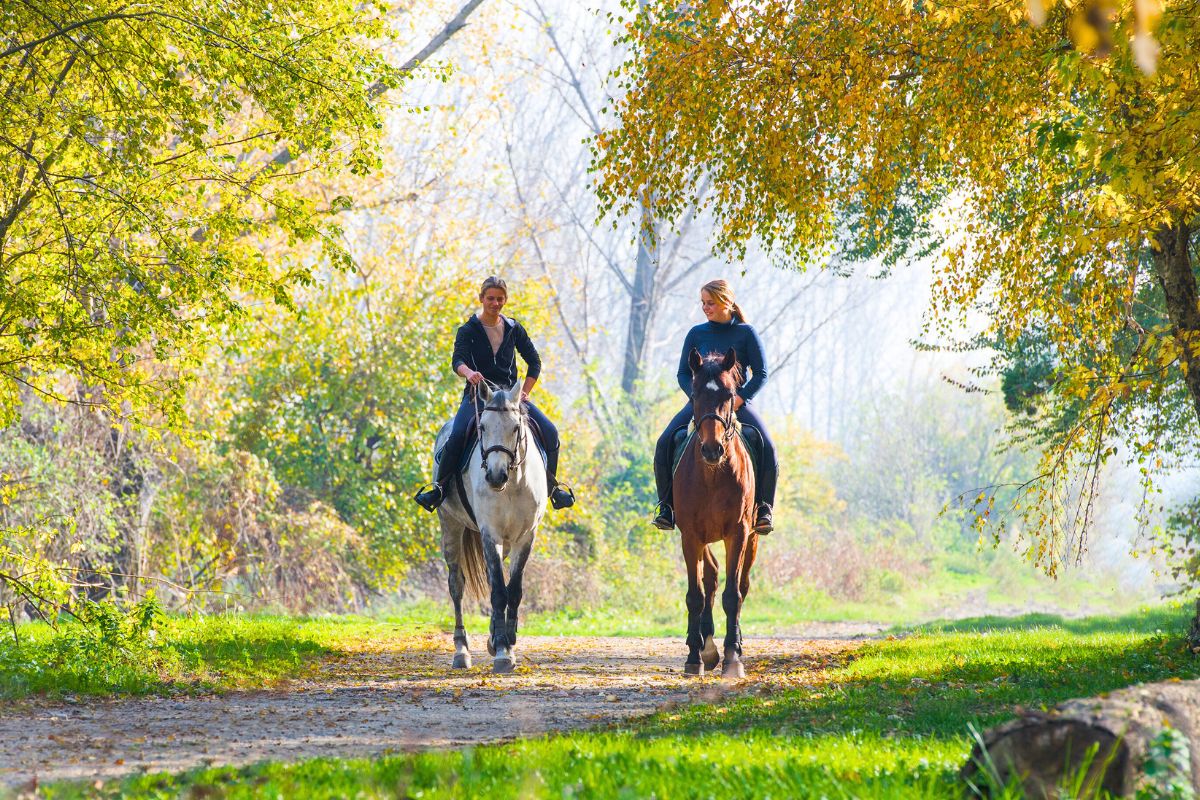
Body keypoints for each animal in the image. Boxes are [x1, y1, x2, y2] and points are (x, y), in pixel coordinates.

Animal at [434, 383, 549, 671]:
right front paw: (503, 652)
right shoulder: (490, 533)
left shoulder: (525, 537)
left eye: (516, 428)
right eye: (482, 427)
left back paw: (492, 636)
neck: (513, 484)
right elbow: (498, 592)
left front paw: (505, 639)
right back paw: (461, 651)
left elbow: (513, 590)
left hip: (505, 543)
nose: (495, 476)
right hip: (450, 525)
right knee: (456, 584)